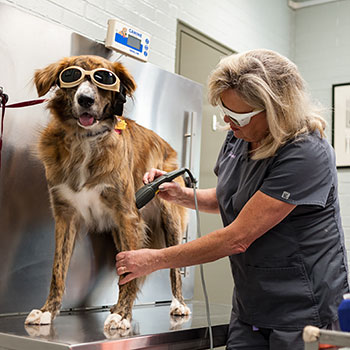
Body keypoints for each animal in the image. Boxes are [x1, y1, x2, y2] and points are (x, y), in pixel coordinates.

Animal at [24, 54, 190, 330]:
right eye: (71, 76)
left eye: (104, 78)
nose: (85, 99)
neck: (85, 140)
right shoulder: (65, 216)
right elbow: (58, 269)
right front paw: (47, 311)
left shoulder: (128, 215)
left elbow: (131, 271)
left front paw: (123, 314)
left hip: (169, 215)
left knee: (175, 268)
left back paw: (178, 304)